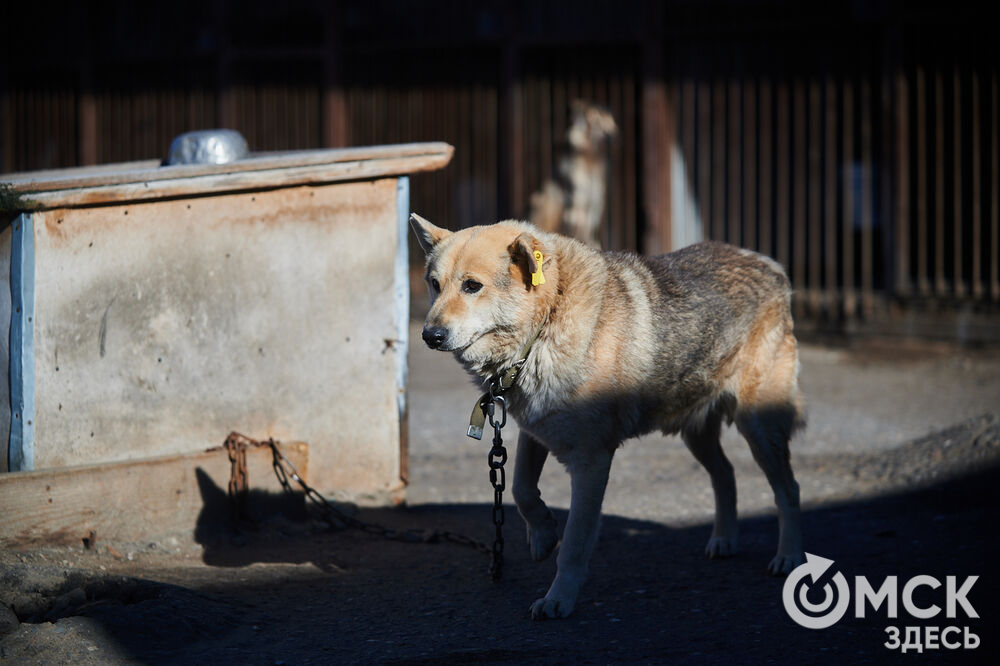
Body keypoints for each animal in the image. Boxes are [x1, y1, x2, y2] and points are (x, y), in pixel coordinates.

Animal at [410, 215, 808, 620]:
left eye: (472, 286)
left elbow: (574, 544)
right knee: (725, 475)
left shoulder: (591, 461)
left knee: (788, 489)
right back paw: (725, 540)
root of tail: (767, 263)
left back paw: (790, 558)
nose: (430, 336)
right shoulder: (534, 431)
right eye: (435, 284)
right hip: (695, 434)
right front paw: (542, 535)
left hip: (758, 428)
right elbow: (522, 488)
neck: (547, 320)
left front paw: (558, 600)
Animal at [532, 101, 616, 249]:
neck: (591, 159)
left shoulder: (595, 207)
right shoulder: (576, 210)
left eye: (610, 120)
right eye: (596, 122)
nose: (611, 136)